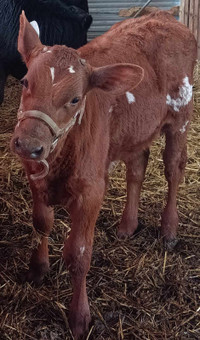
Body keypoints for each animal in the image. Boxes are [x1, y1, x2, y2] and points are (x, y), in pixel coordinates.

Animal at [10, 11, 197, 338]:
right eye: (25, 81)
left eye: (75, 99)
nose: (29, 145)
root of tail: (163, 16)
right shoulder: (35, 178)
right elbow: (41, 223)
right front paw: (38, 269)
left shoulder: (91, 191)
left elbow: (79, 253)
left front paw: (80, 316)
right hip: (134, 130)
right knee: (138, 167)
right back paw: (127, 225)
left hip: (180, 118)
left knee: (174, 169)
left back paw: (169, 230)